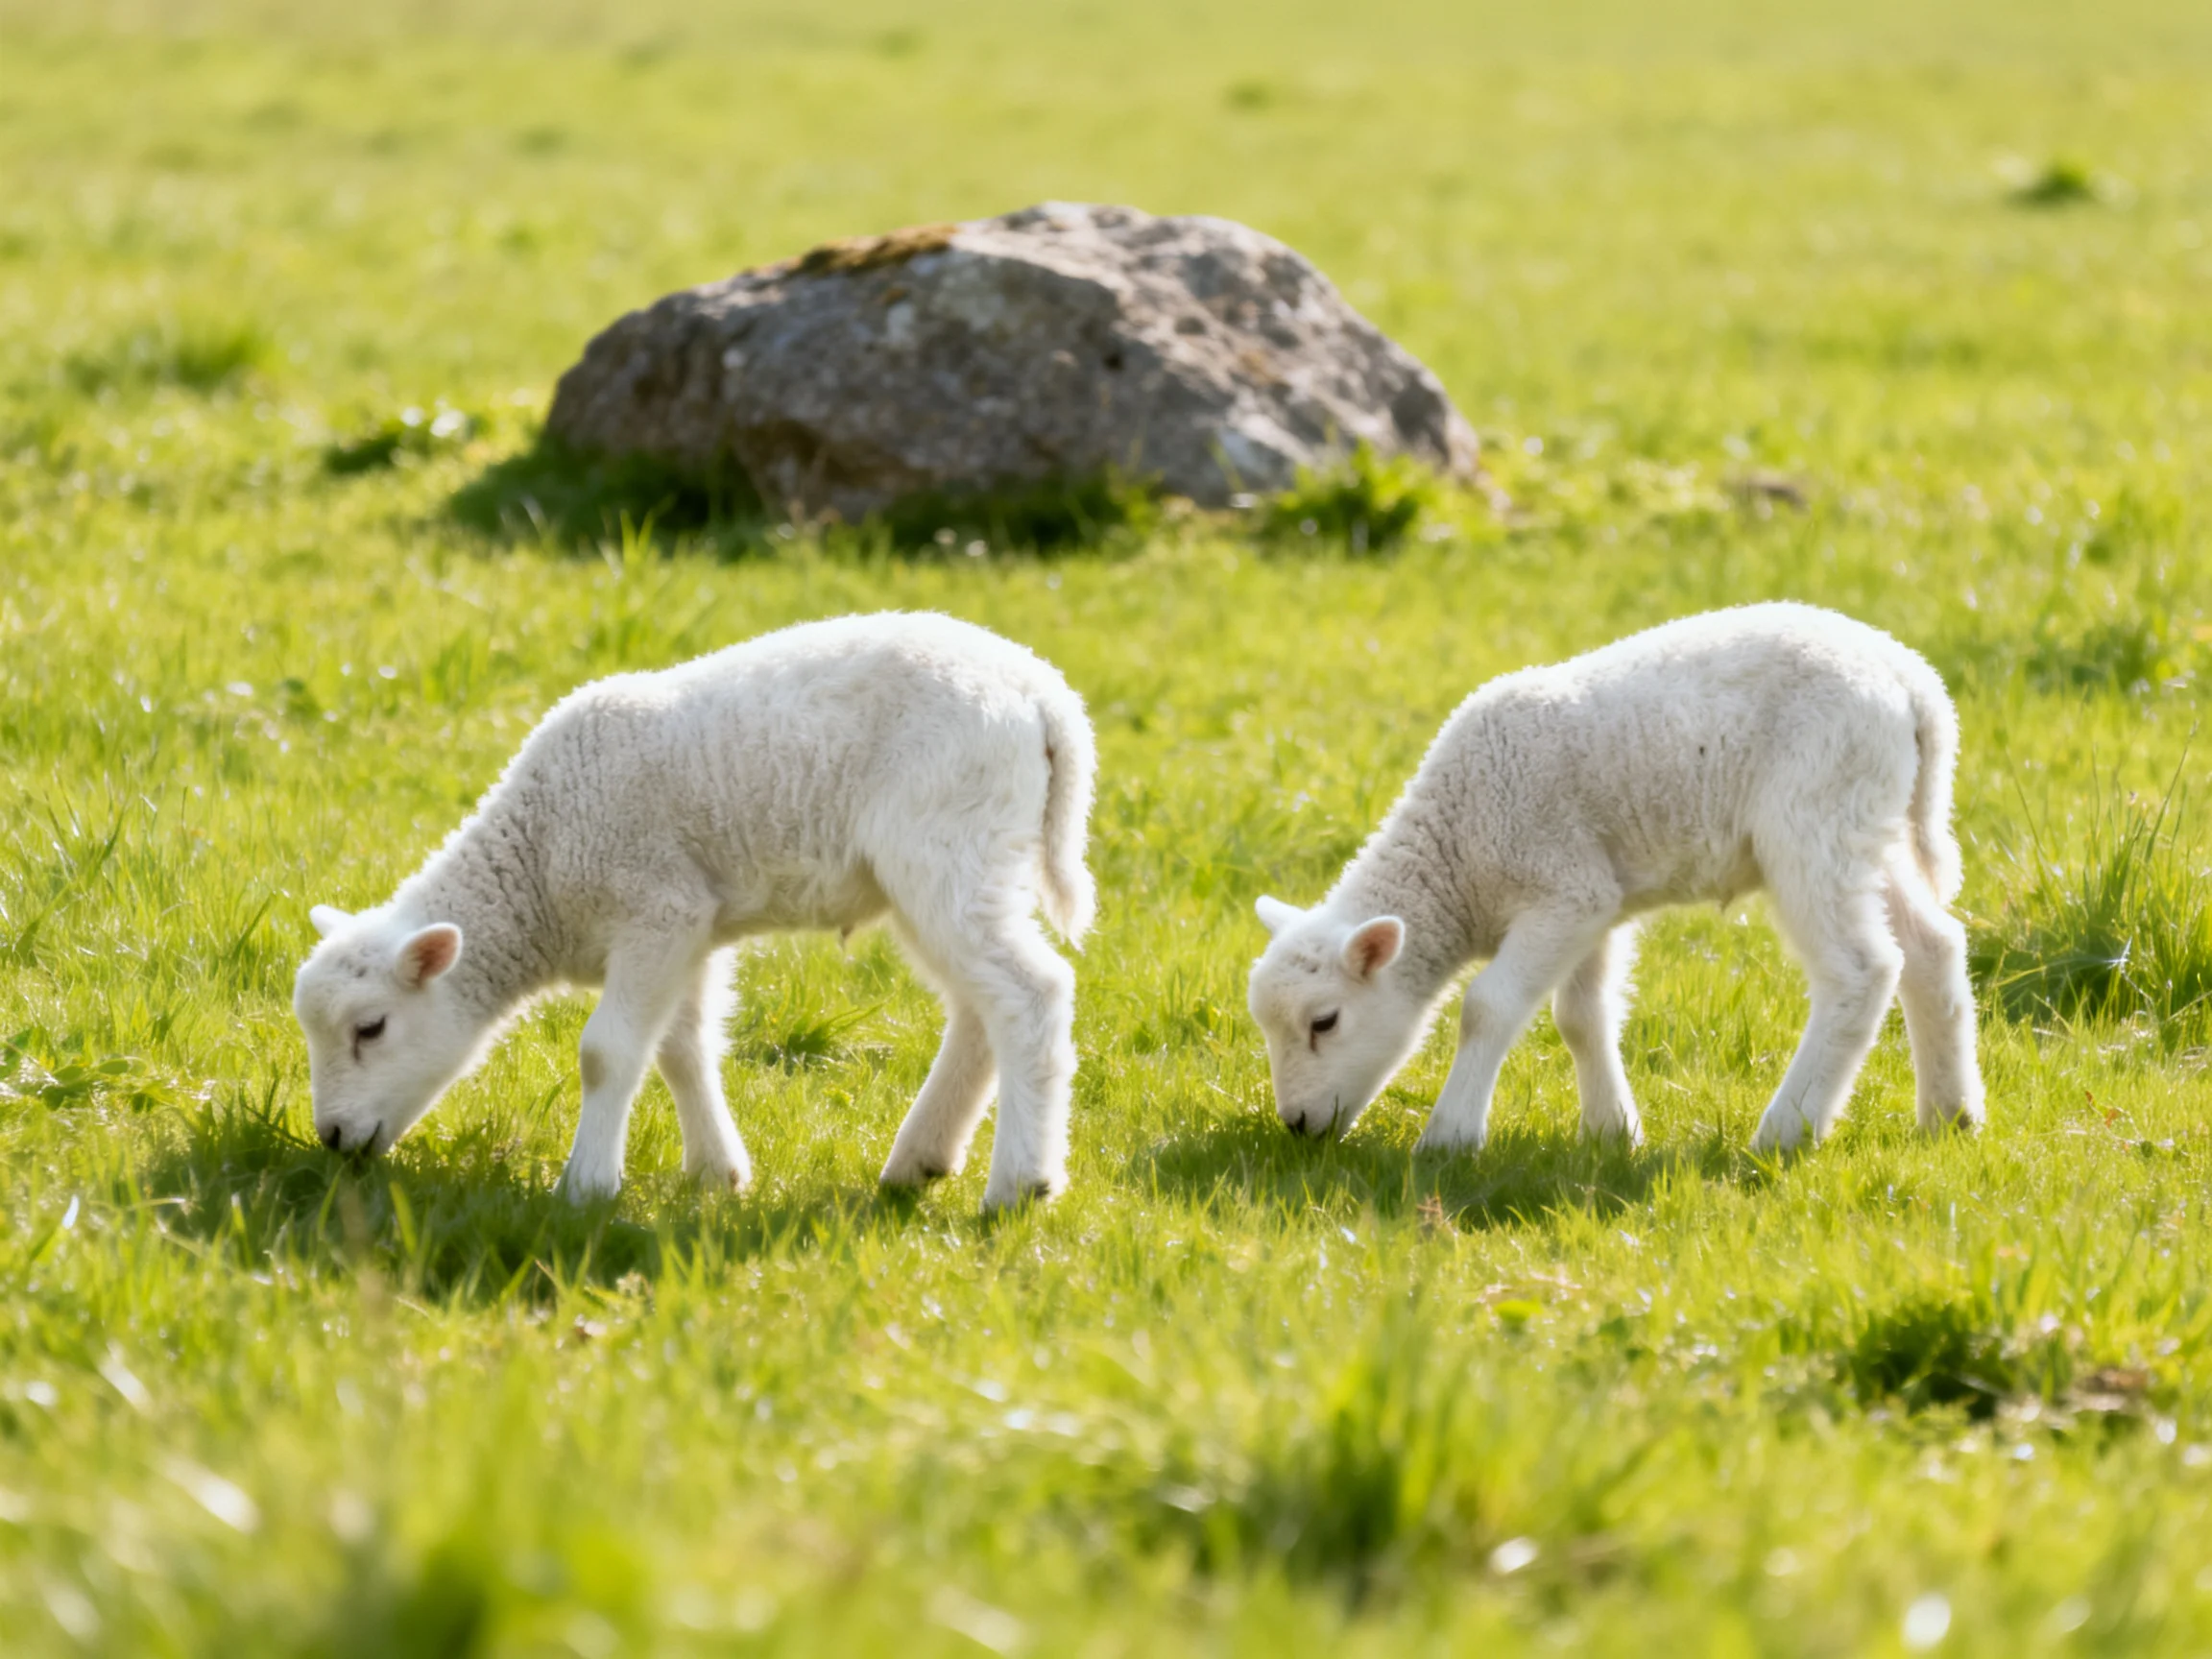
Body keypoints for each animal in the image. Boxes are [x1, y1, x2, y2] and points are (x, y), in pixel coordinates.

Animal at [292, 611, 1096, 1213]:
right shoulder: (688, 926)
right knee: (978, 1006)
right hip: (962, 863)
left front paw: (586, 1186)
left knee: (1030, 992)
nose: (331, 1137)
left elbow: (607, 1052)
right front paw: (717, 1170)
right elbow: (682, 1048)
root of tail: (1044, 694)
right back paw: (920, 1160)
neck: (540, 866)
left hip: (947, 842)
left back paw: (1020, 1183)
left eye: (370, 1028)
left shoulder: (654, 907)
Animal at [1247, 602, 1983, 1156]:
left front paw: (1450, 1138)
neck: (1459, 859)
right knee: (1932, 946)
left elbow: (1487, 1006)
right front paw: (1611, 1132)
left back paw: (1786, 1129)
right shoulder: (1593, 901)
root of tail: (1913, 681)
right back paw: (1951, 1115)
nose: (1297, 1126)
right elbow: (1581, 1016)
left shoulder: (1560, 887)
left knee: (1861, 969)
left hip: (1814, 816)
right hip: (1868, 821)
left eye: (1324, 1022)